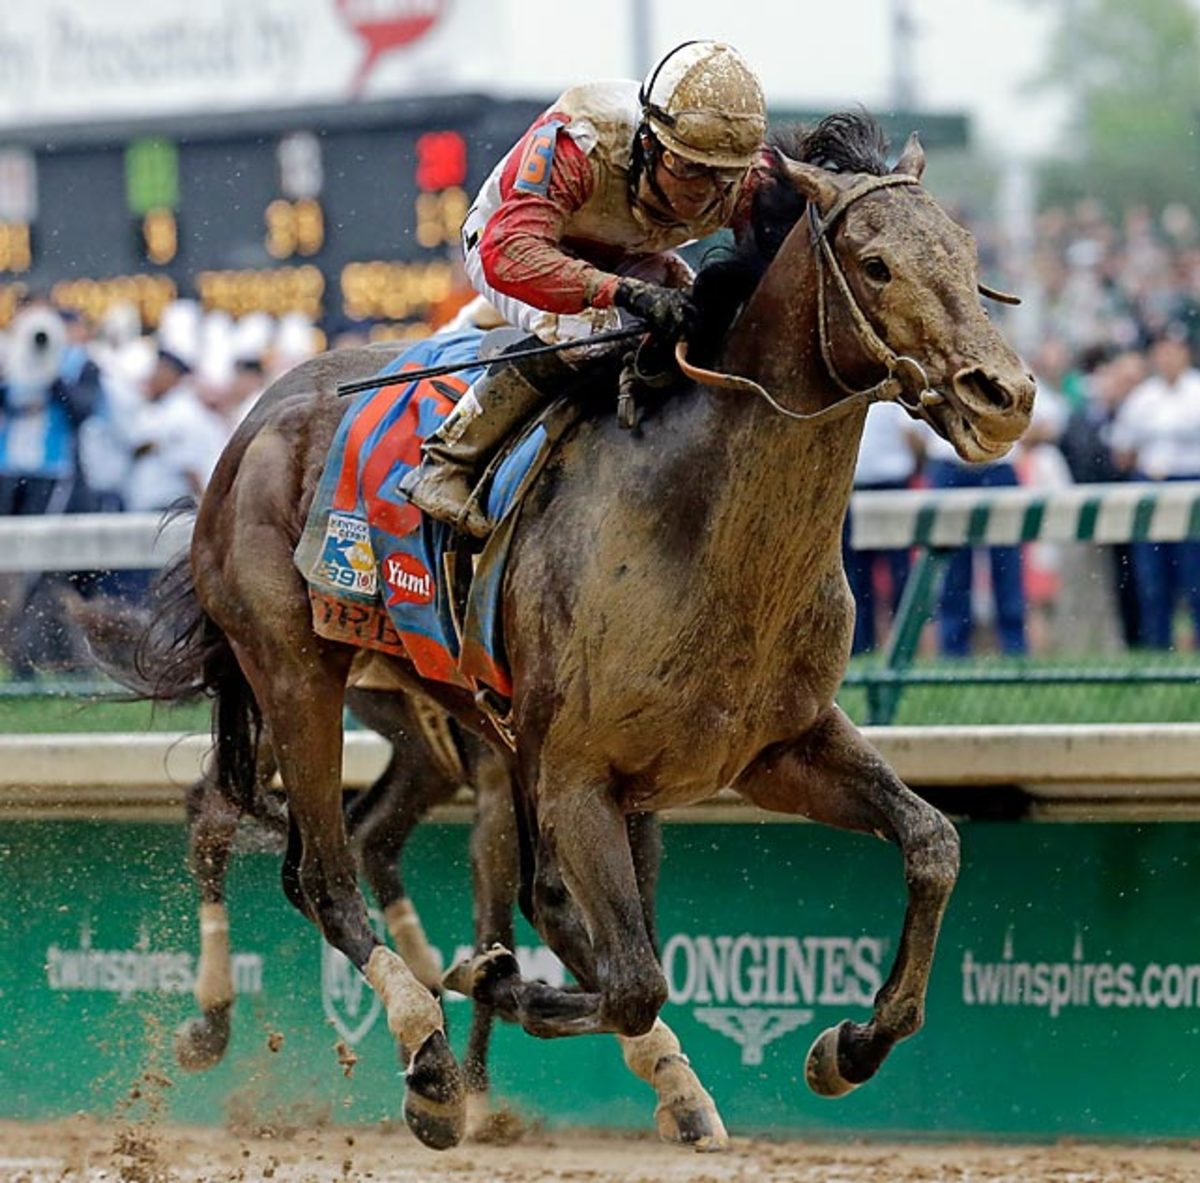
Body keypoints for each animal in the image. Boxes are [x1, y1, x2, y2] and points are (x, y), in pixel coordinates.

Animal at [152, 115, 1032, 1147]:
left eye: (967, 252)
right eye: (877, 263)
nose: (1003, 394)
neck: (698, 520)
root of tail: (252, 425)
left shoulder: (777, 745)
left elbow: (932, 843)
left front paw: (848, 1045)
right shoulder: (574, 773)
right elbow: (632, 976)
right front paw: (495, 990)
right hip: (296, 675)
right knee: (318, 874)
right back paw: (425, 1059)